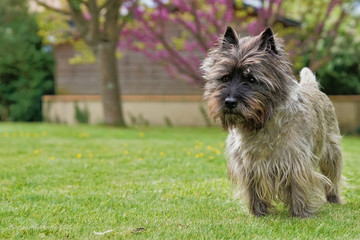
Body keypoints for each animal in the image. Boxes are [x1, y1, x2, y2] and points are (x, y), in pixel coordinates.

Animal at [201, 26, 342, 218]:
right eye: (225, 78)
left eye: (252, 79)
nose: (229, 102)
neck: (260, 125)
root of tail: (312, 87)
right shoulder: (249, 165)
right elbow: (253, 188)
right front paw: (258, 212)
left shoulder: (296, 160)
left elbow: (298, 185)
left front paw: (300, 214)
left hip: (331, 151)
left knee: (333, 176)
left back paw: (334, 198)